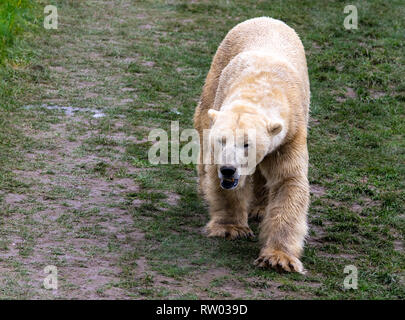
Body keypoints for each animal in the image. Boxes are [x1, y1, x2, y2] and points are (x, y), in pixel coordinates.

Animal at [193, 17, 310, 272]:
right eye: (222, 140)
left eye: (247, 144)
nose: (228, 169)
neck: (260, 88)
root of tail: (266, 18)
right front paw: (231, 229)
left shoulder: (290, 134)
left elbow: (288, 181)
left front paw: (278, 258)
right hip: (216, 70)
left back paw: (259, 209)